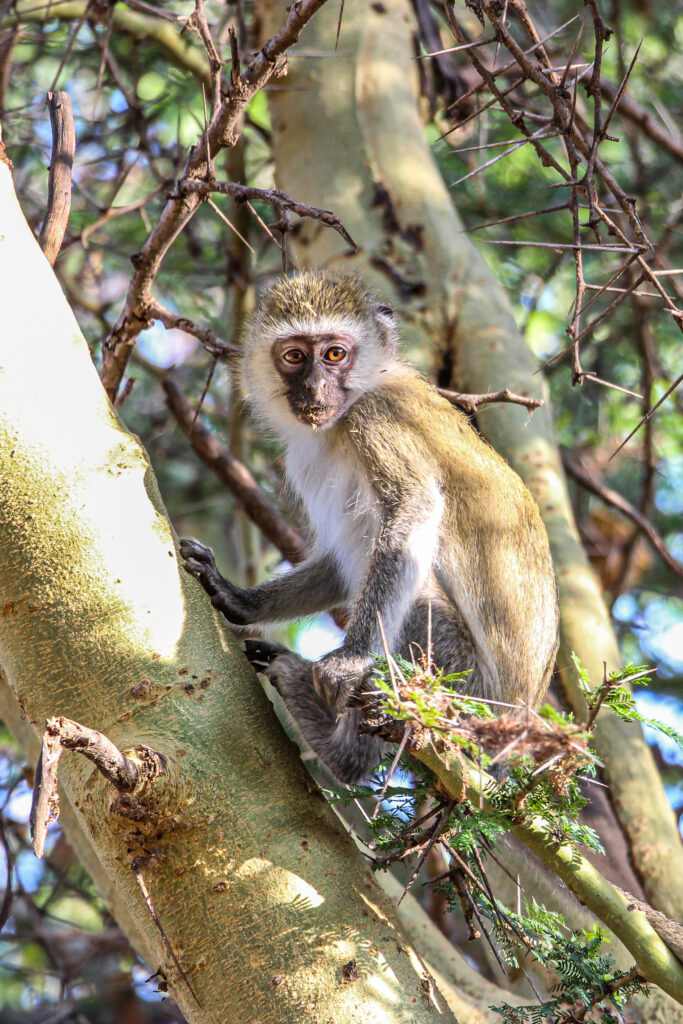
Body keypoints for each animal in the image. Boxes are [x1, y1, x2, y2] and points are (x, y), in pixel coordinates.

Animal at [179, 272, 557, 782]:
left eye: (335, 354)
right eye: (294, 356)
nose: (315, 389)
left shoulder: (376, 418)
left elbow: (413, 509)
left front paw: (348, 662)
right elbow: (342, 561)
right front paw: (236, 597)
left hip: (463, 695)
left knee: (418, 599)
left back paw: (344, 754)